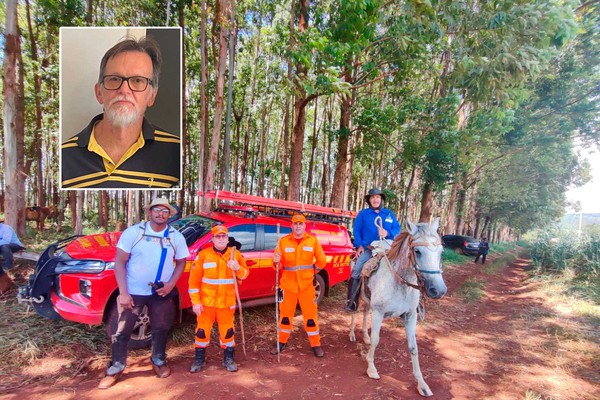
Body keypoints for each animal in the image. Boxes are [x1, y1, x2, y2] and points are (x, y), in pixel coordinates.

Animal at [352, 219, 446, 396]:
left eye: (440, 251)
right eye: (417, 251)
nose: (439, 290)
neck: (400, 282)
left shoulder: (411, 315)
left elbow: (413, 347)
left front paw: (422, 384)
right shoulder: (379, 313)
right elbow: (376, 340)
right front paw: (371, 368)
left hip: (368, 300)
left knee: (365, 312)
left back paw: (365, 336)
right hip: (356, 294)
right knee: (354, 312)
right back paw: (352, 335)